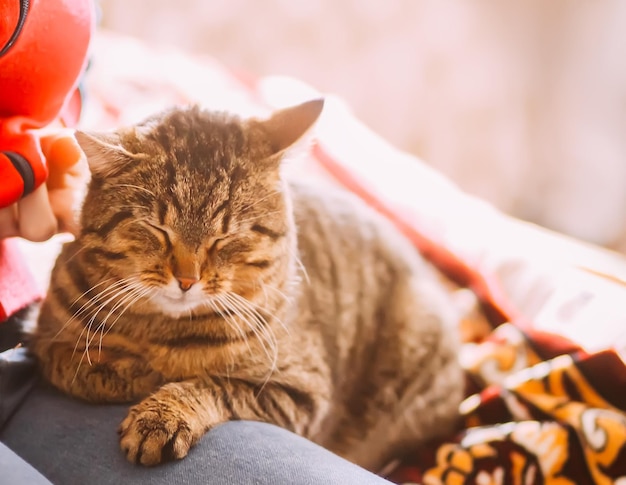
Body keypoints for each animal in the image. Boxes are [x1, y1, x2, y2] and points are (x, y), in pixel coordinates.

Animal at [34, 100, 464, 470]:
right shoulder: (44, 339)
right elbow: (73, 367)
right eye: (157, 228)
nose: (187, 280)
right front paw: (134, 373)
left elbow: (212, 385)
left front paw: (161, 412)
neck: (159, 332)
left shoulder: (299, 393)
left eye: (226, 236)